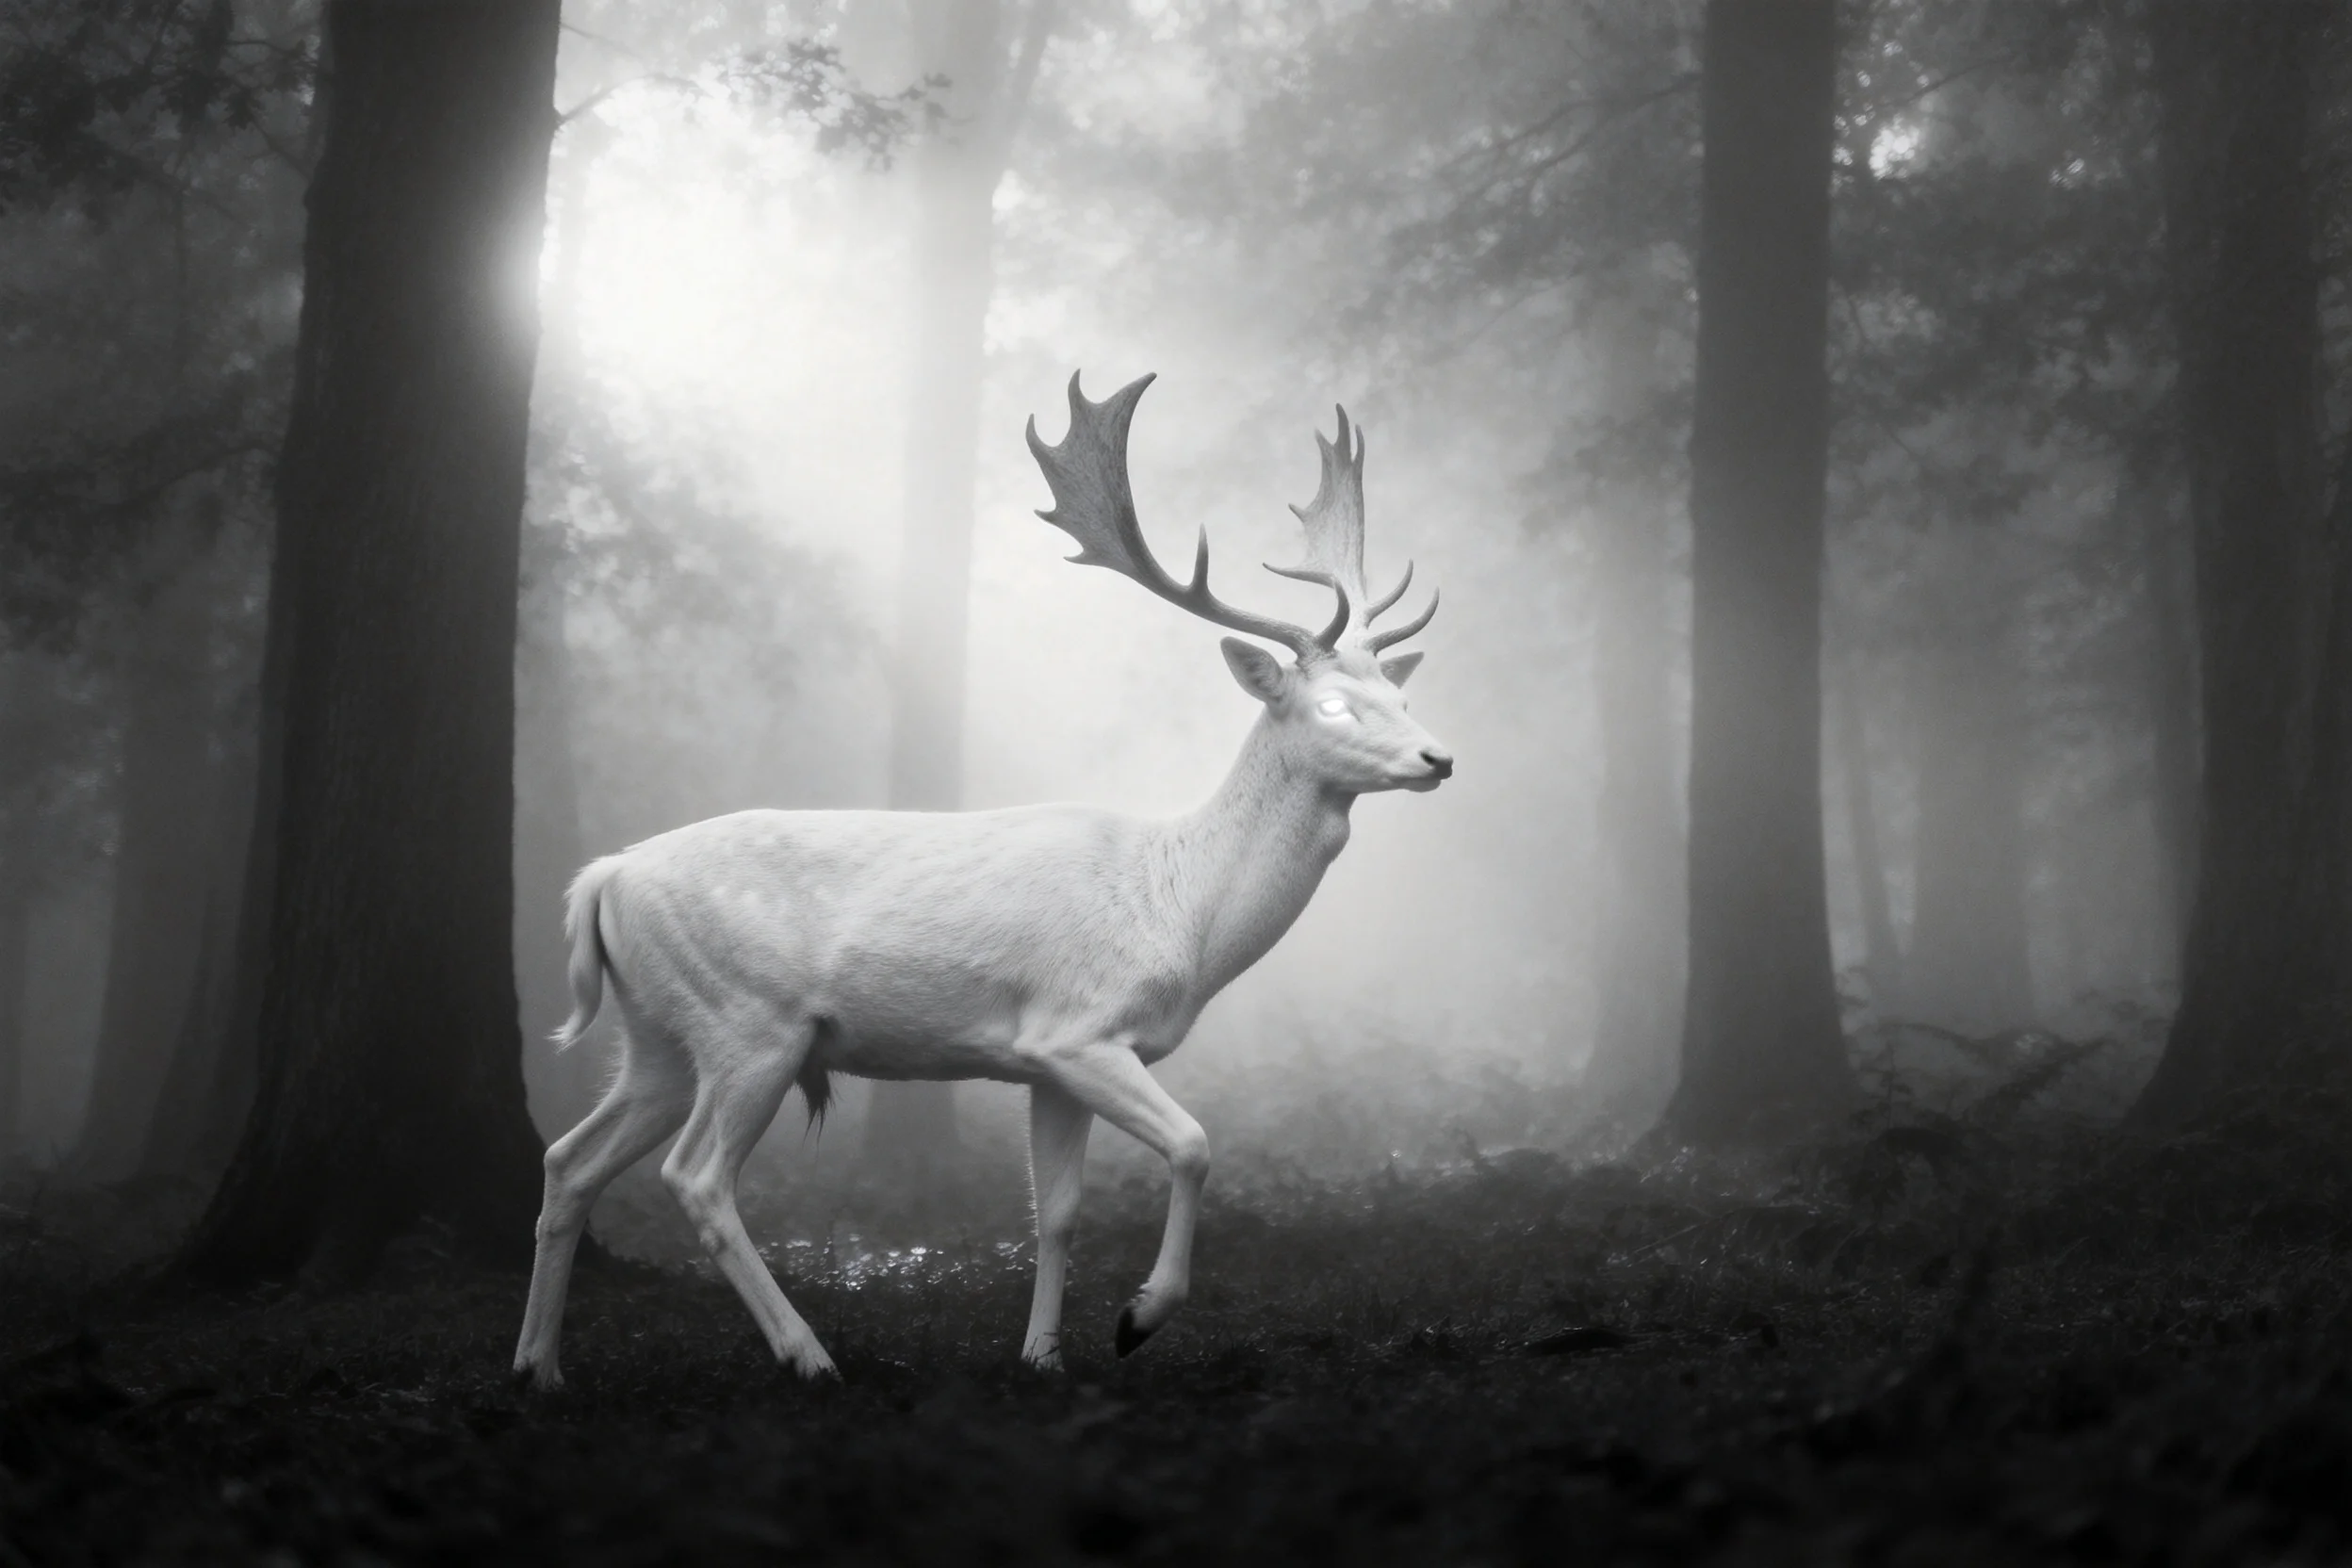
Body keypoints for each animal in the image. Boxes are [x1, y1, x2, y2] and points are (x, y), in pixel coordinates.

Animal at [511, 372, 1448, 1389]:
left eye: (1402, 694)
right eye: (1333, 705)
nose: (1439, 756)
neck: (1184, 912)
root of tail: (603, 879)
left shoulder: (1047, 1065)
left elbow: (1059, 1211)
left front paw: (1042, 1355)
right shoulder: (1078, 1029)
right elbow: (1195, 1144)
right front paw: (1139, 1317)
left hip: (656, 1035)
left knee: (569, 1159)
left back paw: (538, 1369)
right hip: (745, 1023)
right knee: (697, 1177)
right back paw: (809, 1355)